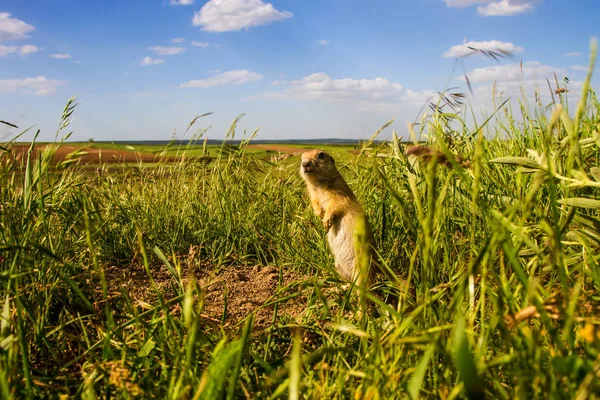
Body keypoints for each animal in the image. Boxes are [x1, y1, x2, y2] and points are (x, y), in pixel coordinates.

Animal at [298, 148, 376, 286]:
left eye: (321, 155)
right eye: (301, 157)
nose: (305, 163)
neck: (318, 184)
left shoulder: (339, 191)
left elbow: (336, 204)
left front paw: (326, 221)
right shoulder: (313, 195)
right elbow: (315, 204)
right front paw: (320, 214)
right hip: (338, 266)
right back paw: (344, 286)